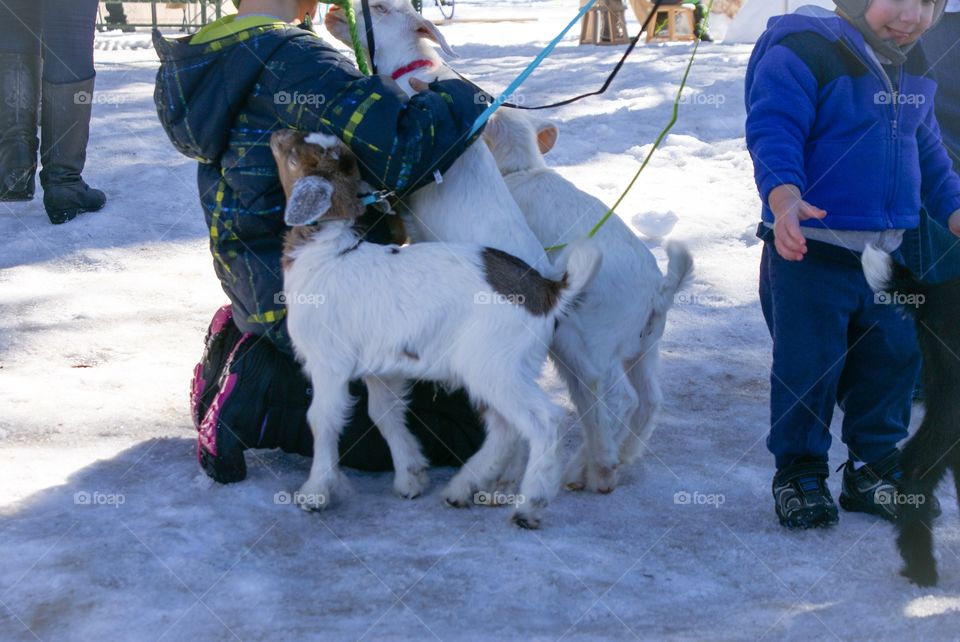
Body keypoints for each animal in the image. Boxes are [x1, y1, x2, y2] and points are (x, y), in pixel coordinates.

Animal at [271, 129, 602, 528]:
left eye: (294, 157)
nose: (275, 134)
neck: (327, 251)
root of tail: (548, 289)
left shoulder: (328, 364)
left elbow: (322, 420)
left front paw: (315, 494)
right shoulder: (382, 369)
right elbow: (384, 414)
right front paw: (410, 477)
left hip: (495, 365)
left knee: (543, 420)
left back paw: (529, 505)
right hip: (496, 369)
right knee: (505, 428)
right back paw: (461, 488)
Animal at [483, 108, 693, 492]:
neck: (521, 169)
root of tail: (659, 292)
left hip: (589, 344)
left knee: (614, 399)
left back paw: (591, 470)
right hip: (644, 350)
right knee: (649, 399)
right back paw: (621, 456)